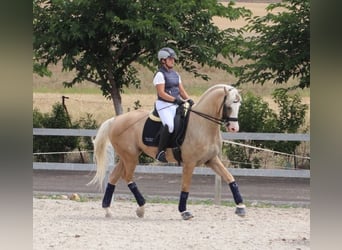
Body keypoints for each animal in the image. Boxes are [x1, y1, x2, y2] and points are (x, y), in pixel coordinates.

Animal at [88, 83, 246, 219]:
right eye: (229, 105)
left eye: (239, 104)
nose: (234, 128)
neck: (203, 125)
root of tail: (116, 120)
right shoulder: (189, 163)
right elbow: (185, 186)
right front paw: (184, 211)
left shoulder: (211, 160)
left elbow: (230, 178)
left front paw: (240, 207)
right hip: (130, 158)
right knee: (127, 178)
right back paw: (141, 208)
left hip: (127, 156)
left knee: (114, 177)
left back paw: (108, 210)